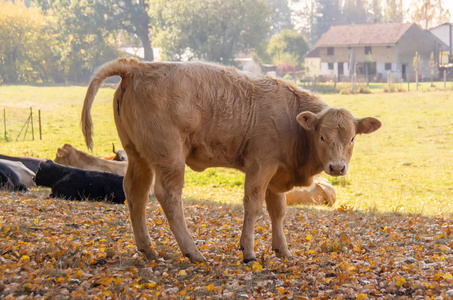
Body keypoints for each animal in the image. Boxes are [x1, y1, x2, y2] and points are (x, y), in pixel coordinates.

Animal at [82, 57, 382, 264]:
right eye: (321, 136)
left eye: (352, 138)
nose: (337, 167)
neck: (290, 116)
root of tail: (137, 66)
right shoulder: (261, 166)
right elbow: (253, 205)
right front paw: (248, 251)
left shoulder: (276, 173)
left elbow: (278, 210)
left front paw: (282, 250)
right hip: (169, 157)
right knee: (168, 196)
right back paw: (193, 252)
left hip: (138, 156)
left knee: (136, 193)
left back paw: (148, 250)